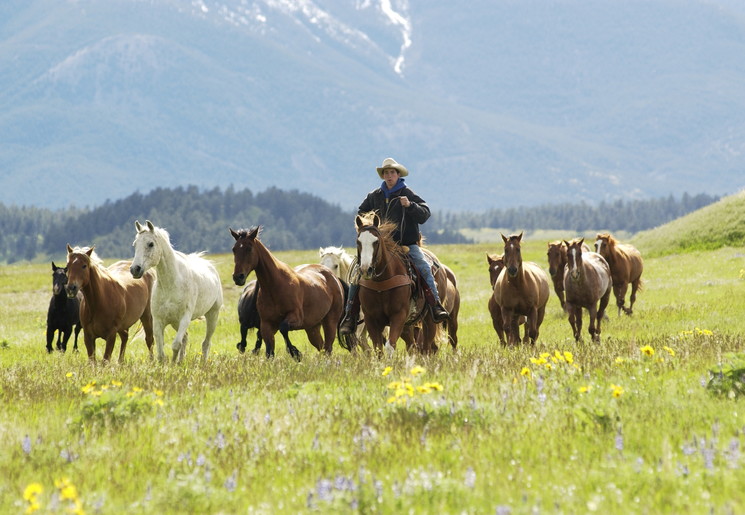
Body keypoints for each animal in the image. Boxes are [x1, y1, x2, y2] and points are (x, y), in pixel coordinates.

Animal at [131, 220, 223, 364]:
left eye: (150, 244)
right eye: (135, 244)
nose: (135, 269)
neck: (171, 285)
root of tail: (210, 267)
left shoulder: (184, 318)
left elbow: (175, 345)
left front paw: (173, 365)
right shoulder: (158, 321)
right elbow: (161, 353)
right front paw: (170, 365)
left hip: (212, 315)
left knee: (206, 343)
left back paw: (202, 364)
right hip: (175, 322)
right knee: (186, 338)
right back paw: (181, 362)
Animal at [230, 226, 345, 360]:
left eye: (249, 248)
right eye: (234, 249)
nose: (238, 277)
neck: (275, 287)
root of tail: (333, 277)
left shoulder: (295, 317)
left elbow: (283, 328)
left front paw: (295, 352)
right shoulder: (266, 324)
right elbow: (269, 351)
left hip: (330, 321)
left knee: (328, 348)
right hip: (312, 327)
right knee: (321, 347)